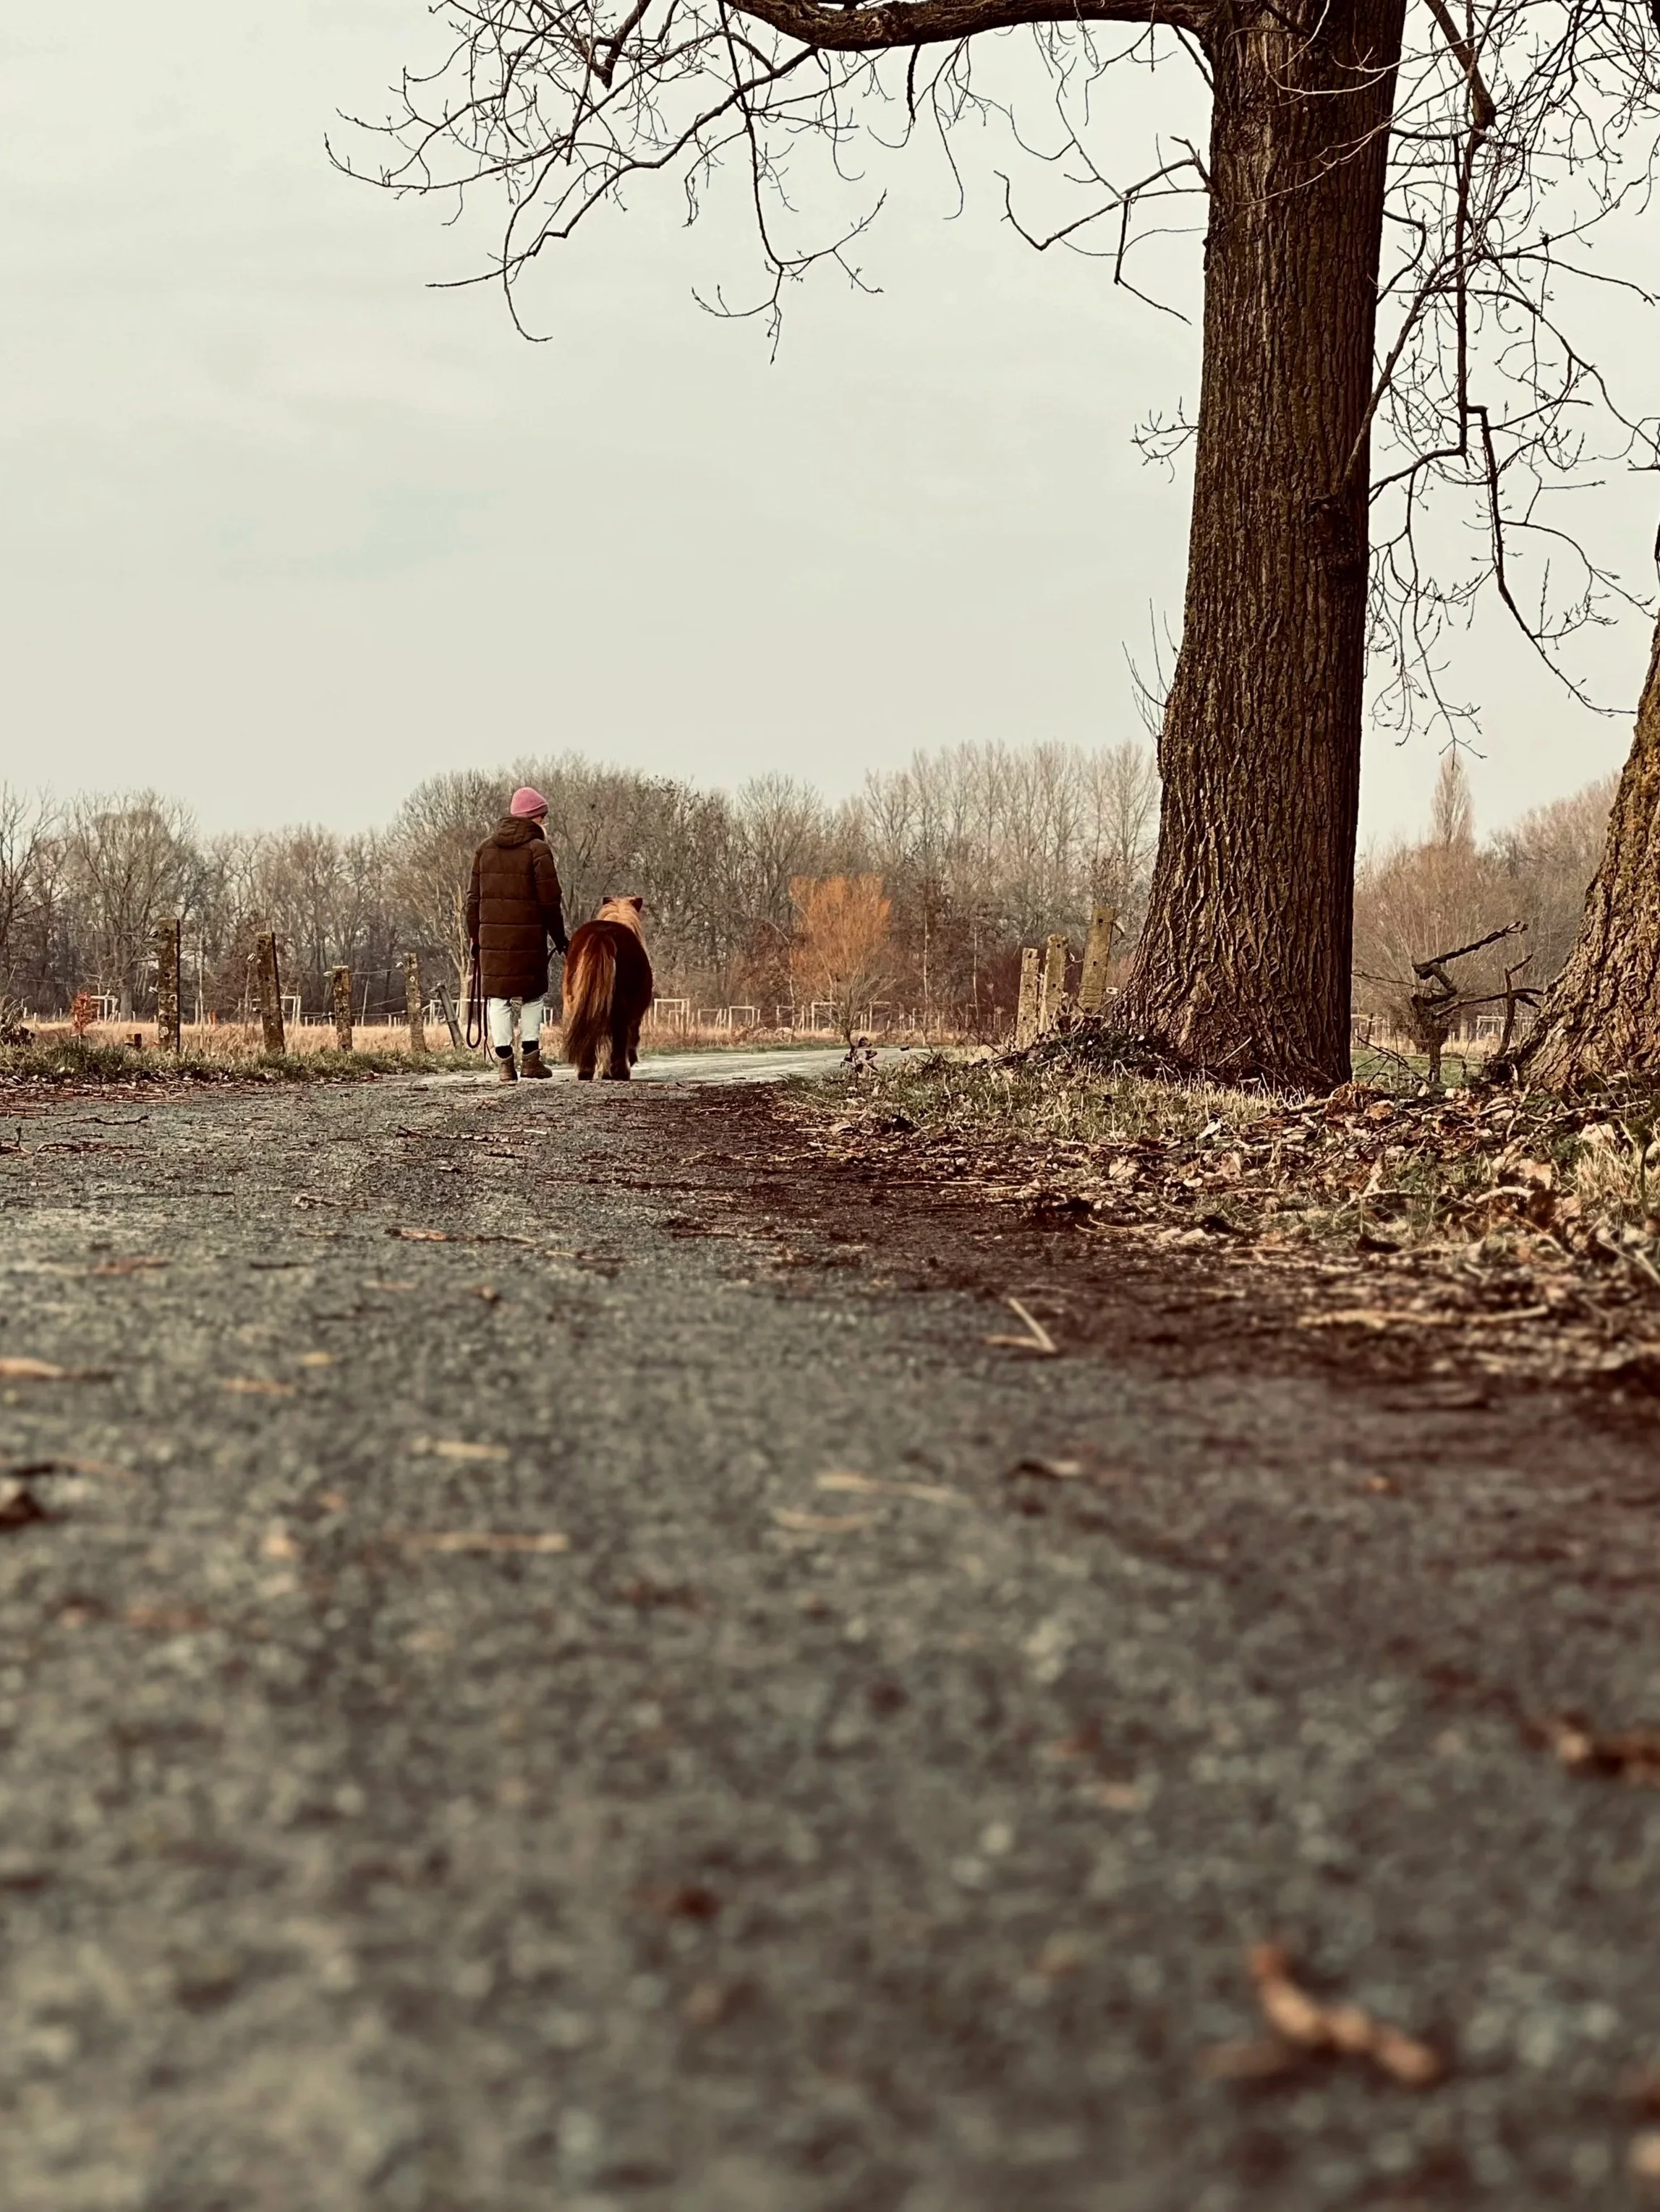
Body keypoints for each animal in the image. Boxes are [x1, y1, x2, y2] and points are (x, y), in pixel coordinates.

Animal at [561, 897, 653, 1081]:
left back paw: (585, 1071)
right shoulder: (635, 1016)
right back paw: (620, 1072)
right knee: (619, 1036)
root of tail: (603, 934)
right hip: (621, 1006)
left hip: (578, 1000)